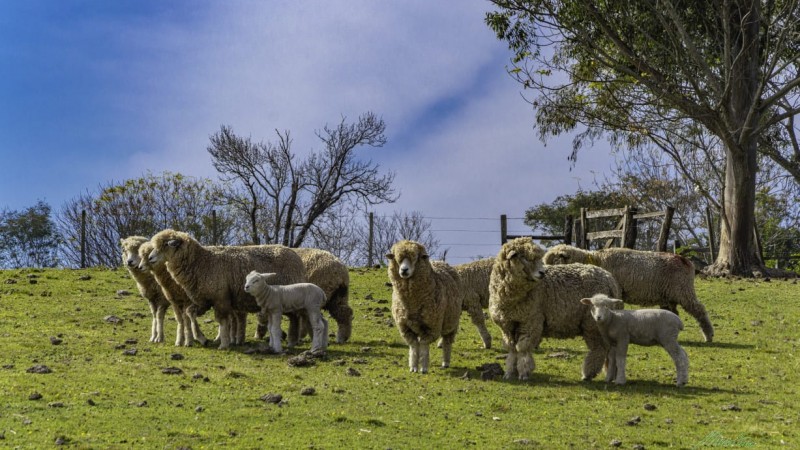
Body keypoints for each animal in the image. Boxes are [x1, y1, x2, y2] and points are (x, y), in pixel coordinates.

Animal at [144, 230, 306, 350]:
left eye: (166, 245)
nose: (150, 258)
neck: (202, 262)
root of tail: (296, 256)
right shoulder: (204, 299)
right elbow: (190, 313)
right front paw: (201, 338)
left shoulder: (220, 298)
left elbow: (222, 321)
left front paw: (223, 343)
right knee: (294, 317)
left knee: (296, 317)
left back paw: (293, 340)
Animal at [386, 241, 462, 374]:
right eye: (397, 258)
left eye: (416, 258)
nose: (404, 270)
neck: (412, 304)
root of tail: (440, 262)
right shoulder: (405, 328)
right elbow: (414, 346)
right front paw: (413, 367)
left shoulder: (432, 327)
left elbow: (424, 345)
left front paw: (424, 367)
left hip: (451, 322)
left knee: (447, 341)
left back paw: (446, 362)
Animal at [488, 237, 624, 382]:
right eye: (524, 257)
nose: (542, 273)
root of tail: (609, 279)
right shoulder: (507, 325)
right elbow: (512, 349)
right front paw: (509, 373)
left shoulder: (530, 321)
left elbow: (522, 348)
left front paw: (524, 373)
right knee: (610, 350)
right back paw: (610, 374)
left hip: (592, 323)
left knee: (599, 349)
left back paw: (588, 373)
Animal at [544, 244, 712, 342]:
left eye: (555, 261)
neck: (595, 260)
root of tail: (686, 261)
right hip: (669, 296)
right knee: (673, 312)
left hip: (683, 291)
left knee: (699, 310)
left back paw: (708, 335)